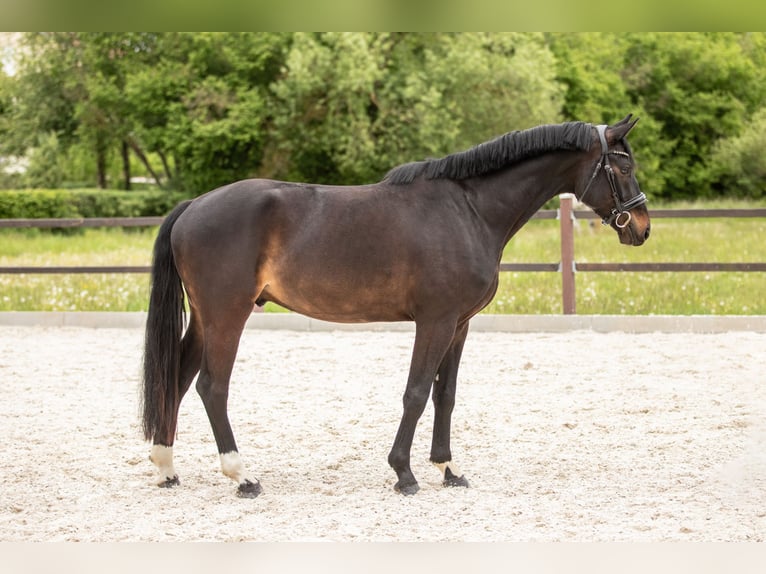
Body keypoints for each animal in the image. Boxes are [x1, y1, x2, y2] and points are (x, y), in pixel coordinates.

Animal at [141, 115, 650, 497]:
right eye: (623, 165)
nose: (642, 227)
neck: (469, 210)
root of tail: (193, 205)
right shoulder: (435, 321)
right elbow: (417, 392)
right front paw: (404, 473)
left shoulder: (459, 325)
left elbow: (446, 395)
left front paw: (448, 469)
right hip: (228, 315)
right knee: (212, 387)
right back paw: (242, 475)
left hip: (205, 319)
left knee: (178, 379)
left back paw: (167, 467)